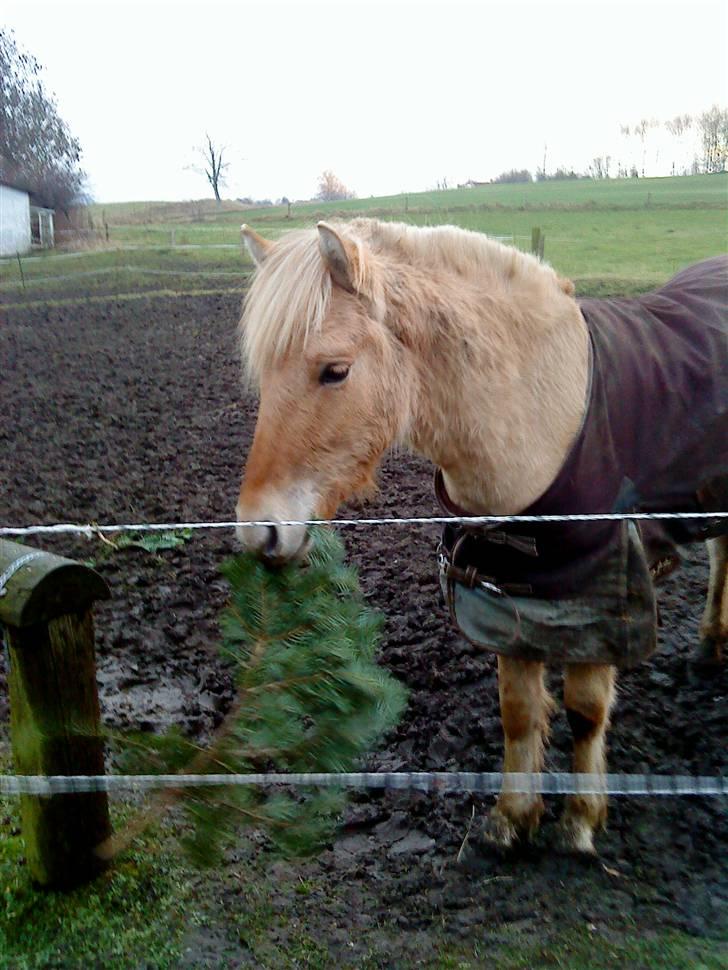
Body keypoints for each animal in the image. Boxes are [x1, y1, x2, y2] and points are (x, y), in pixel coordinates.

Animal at [236, 216, 724, 852]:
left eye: (334, 371)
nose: (259, 532)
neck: (540, 412)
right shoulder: (515, 597)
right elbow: (518, 711)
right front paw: (512, 818)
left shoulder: (601, 608)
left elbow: (586, 711)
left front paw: (581, 819)